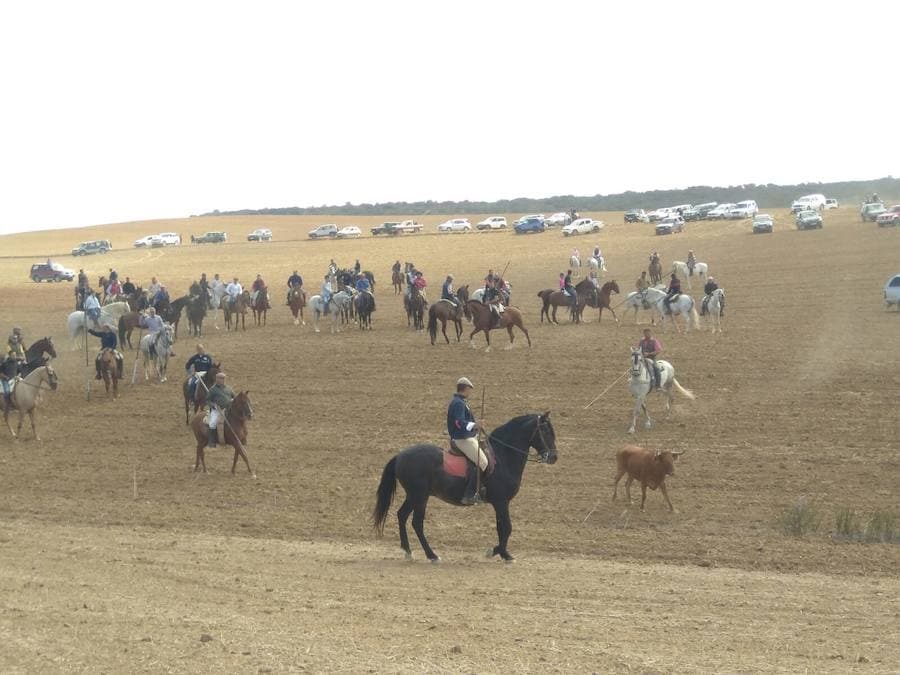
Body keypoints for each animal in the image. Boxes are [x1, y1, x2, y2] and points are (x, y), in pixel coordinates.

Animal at [372, 414, 556, 564]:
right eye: (546, 431)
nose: (554, 457)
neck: (503, 457)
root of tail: (400, 455)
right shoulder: (501, 501)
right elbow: (508, 527)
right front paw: (495, 552)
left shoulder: (500, 503)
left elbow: (501, 528)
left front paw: (503, 554)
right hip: (420, 496)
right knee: (416, 523)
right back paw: (432, 555)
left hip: (413, 496)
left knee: (402, 515)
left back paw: (408, 552)